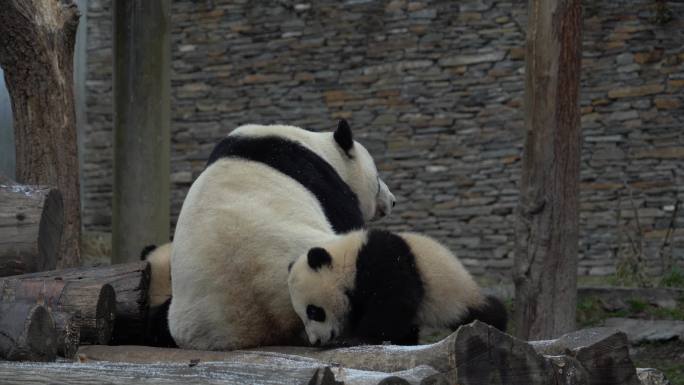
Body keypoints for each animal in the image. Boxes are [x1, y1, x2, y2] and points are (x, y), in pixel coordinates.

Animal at [286, 228, 504, 344]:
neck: (347, 259)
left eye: (314, 311)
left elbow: (394, 300)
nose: (315, 341)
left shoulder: (384, 259)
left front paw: (356, 338)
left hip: (457, 295)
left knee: (483, 312)